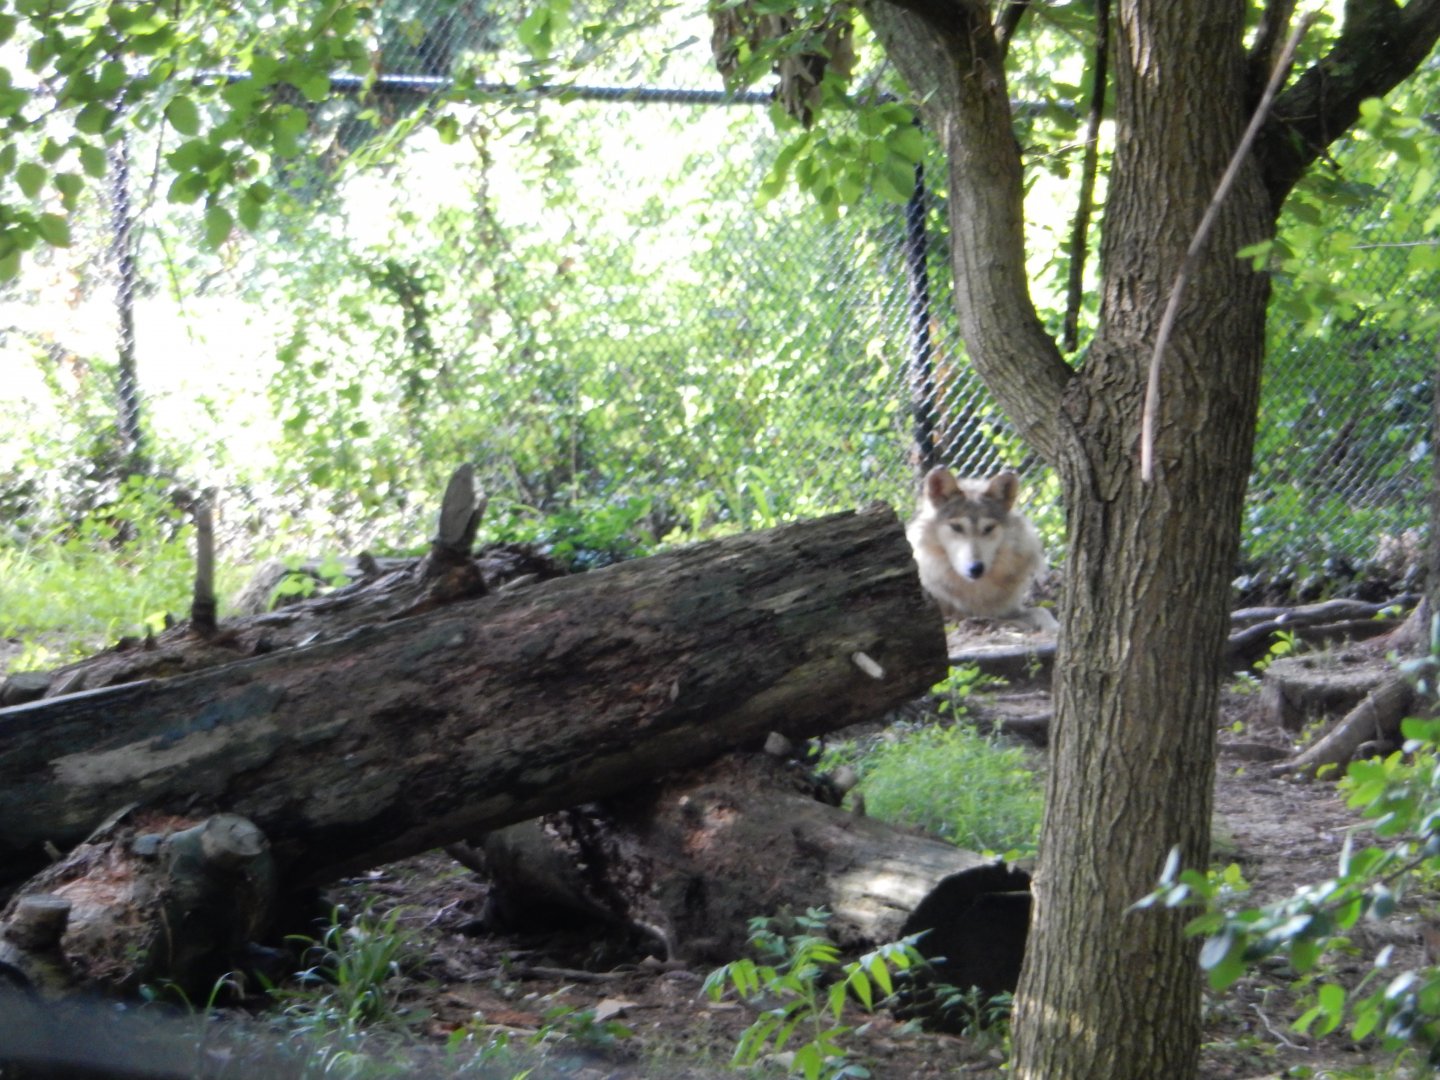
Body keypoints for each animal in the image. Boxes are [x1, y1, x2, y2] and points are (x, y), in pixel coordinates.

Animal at [906, 467, 1058, 633]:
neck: (975, 592)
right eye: (957, 527)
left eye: (988, 528)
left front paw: (1053, 626)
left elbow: (1041, 611)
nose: (976, 568)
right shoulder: (952, 617)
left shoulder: (1006, 609)